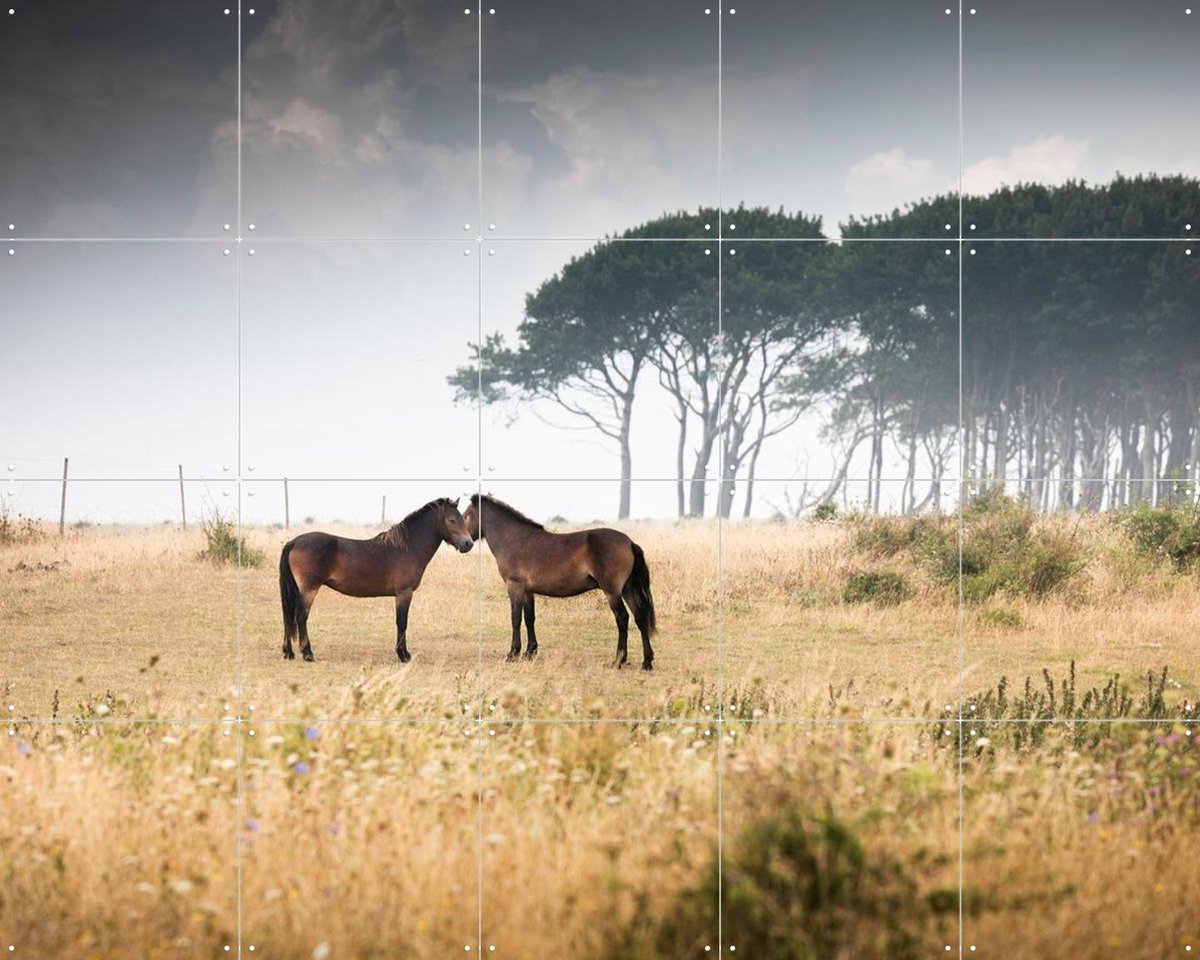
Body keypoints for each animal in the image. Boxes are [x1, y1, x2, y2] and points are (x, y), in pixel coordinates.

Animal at [278, 497, 474, 663]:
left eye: (463, 518)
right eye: (452, 520)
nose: (468, 544)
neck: (407, 548)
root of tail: (294, 542)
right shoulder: (404, 593)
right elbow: (402, 622)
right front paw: (403, 655)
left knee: (289, 617)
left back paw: (289, 652)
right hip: (309, 589)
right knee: (301, 616)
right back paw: (308, 653)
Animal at [462, 494, 657, 670]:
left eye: (465, 516)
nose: (465, 544)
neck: (513, 539)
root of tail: (629, 542)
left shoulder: (514, 586)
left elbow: (515, 619)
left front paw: (512, 653)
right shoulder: (528, 591)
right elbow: (529, 618)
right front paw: (529, 652)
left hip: (612, 592)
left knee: (622, 618)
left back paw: (618, 660)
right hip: (627, 589)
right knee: (640, 618)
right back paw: (646, 662)